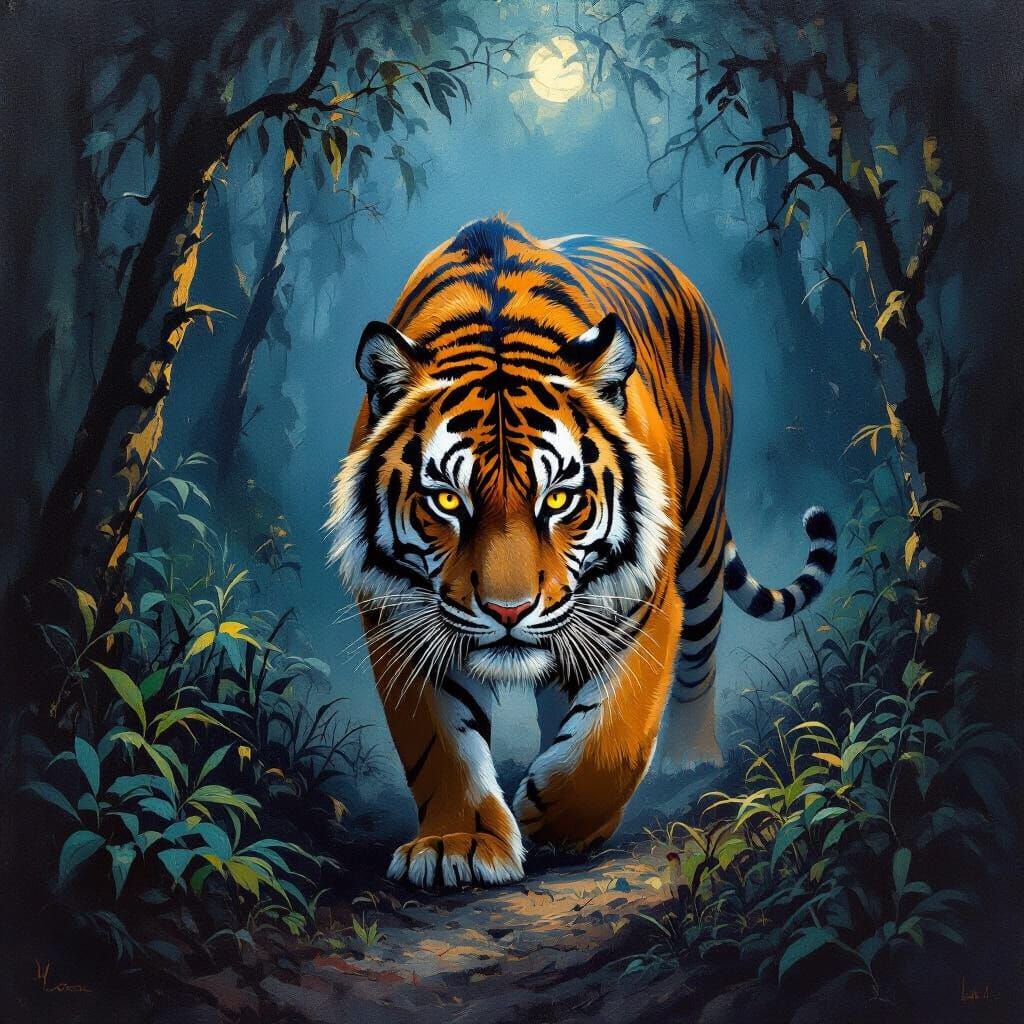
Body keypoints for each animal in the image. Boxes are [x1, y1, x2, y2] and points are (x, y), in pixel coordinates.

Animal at [327, 215, 836, 889]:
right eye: (448, 500)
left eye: (560, 498)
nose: (509, 612)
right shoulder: (399, 614)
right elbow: (442, 744)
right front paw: (458, 844)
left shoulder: (644, 600)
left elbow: (612, 738)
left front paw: (556, 821)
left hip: (700, 535)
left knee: (700, 650)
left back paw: (689, 758)